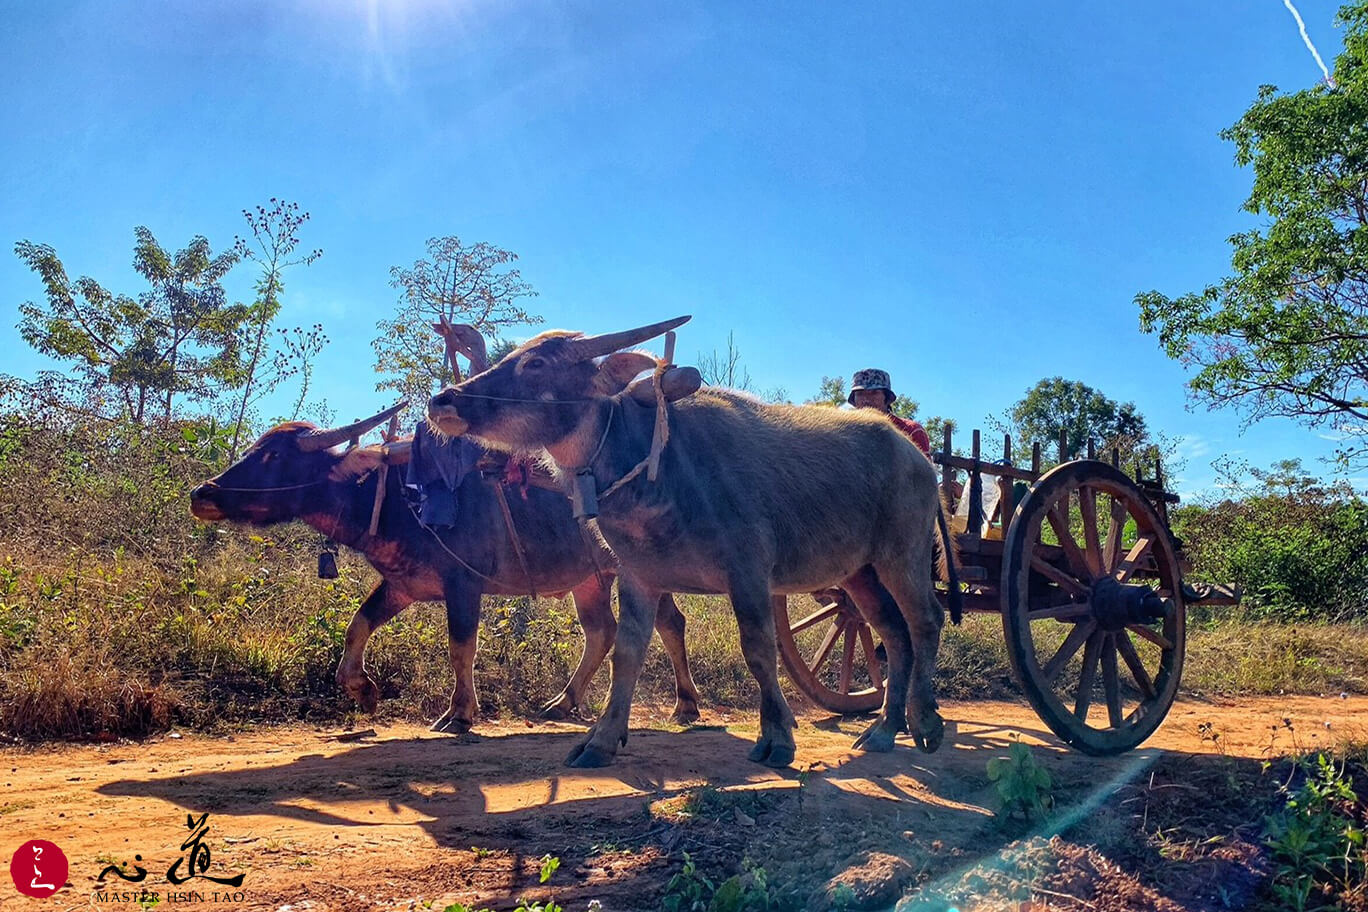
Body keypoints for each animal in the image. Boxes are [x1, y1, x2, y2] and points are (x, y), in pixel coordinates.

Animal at [187, 407, 700, 732]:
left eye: (275, 455)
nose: (202, 493)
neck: (396, 493)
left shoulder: (464, 585)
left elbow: (460, 648)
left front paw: (460, 712)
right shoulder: (402, 583)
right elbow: (357, 625)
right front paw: (362, 689)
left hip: (643, 571)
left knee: (670, 624)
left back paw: (686, 705)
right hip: (590, 580)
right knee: (602, 630)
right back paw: (563, 702)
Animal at [429, 319, 963, 771]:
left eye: (537, 363)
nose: (444, 402)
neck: (655, 462)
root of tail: (918, 457)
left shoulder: (748, 571)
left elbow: (758, 649)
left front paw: (777, 737)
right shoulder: (638, 576)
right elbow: (627, 653)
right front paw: (600, 740)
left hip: (903, 555)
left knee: (925, 621)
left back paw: (925, 723)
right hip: (859, 574)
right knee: (893, 633)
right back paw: (883, 730)